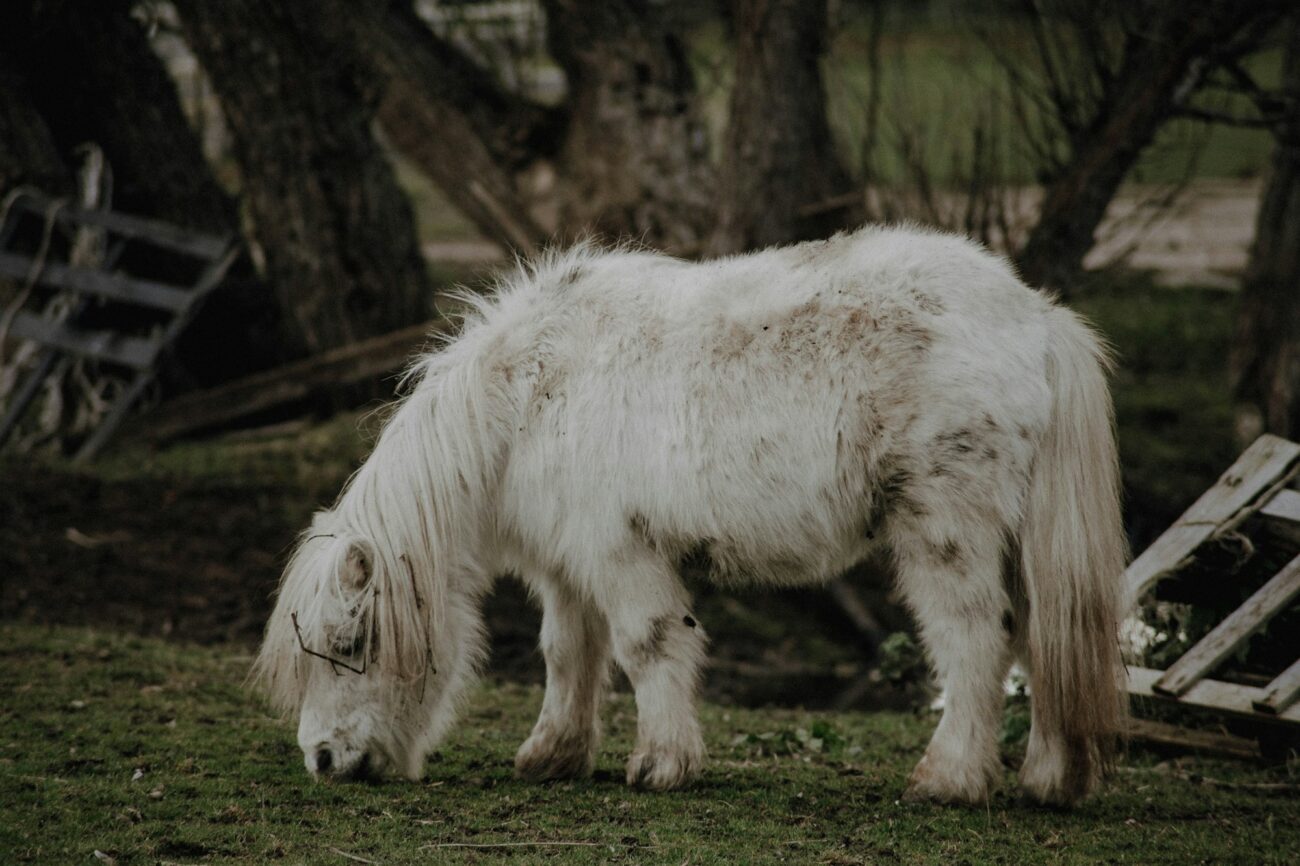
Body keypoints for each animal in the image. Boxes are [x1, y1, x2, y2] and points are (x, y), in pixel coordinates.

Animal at [252, 225, 1127, 807]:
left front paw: (661, 764)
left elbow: (647, 646)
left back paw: (948, 779)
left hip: (946, 530)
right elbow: (568, 654)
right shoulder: (567, 566)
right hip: (1017, 538)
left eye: (350, 644)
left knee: (977, 640)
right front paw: (553, 755)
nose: (321, 760)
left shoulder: (620, 553)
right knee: (1043, 637)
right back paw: (1052, 778)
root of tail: (1037, 319)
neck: (529, 396)